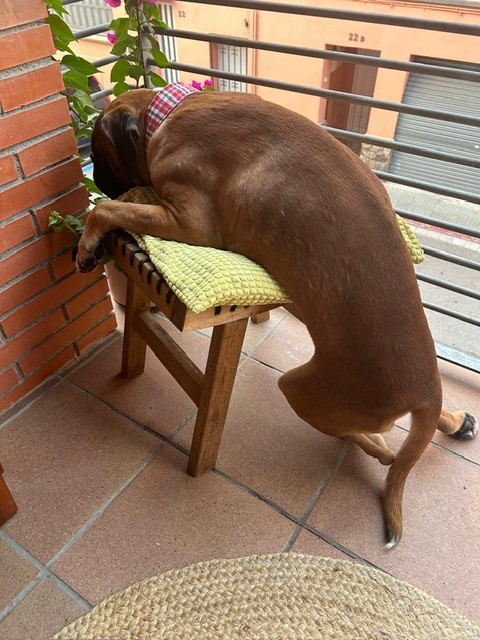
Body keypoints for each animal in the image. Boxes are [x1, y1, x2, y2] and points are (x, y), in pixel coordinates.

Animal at [77, 84, 478, 547]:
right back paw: (454, 421)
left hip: (298, 388)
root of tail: (426, 391)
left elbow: (103, 210)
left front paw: (87, 242)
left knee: (372, 445)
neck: (168, 113)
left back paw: (381, 445)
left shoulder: (189, 222)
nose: (97, 180)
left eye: (98, 152)